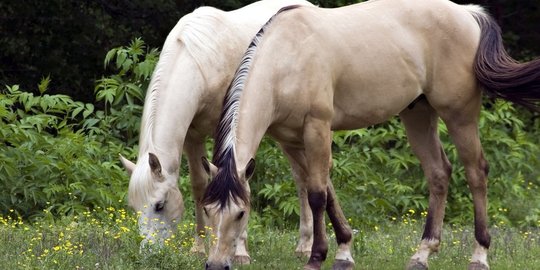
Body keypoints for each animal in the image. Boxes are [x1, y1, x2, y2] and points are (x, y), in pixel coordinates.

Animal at [117, 0, 312, 262]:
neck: (200, 64)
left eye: (159, 205)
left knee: (304, 179)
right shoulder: (193, 136)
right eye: (134, 207)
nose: (148, 254)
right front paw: (200, 247)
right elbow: (200, 186)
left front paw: (239, 251)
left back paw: (306, 246)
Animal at [201, 0, 540, 270]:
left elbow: (317, 194)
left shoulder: (317, 129)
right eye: (207, 210)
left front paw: (316, 258)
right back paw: (422, 254)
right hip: (418, 115)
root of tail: (468, 13)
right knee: (438, 173)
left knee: (476, 172)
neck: (287, 58)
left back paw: (479, 255)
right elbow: (326, 191)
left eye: (241, 213)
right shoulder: (292, 141)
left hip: (459, 115)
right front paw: (343, 252)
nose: (215, 265)